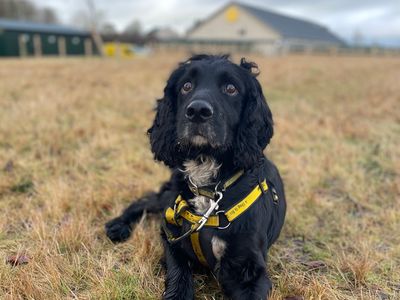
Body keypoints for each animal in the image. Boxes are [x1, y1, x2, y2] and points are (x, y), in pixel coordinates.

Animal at [106, 55, 286, 298]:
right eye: (186, 86)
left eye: (231, 88)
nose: (198, 111)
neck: (208, 185)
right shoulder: (173, 240)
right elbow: (178, 277)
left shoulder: (248, 269)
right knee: (143, 202)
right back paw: (118, 225)